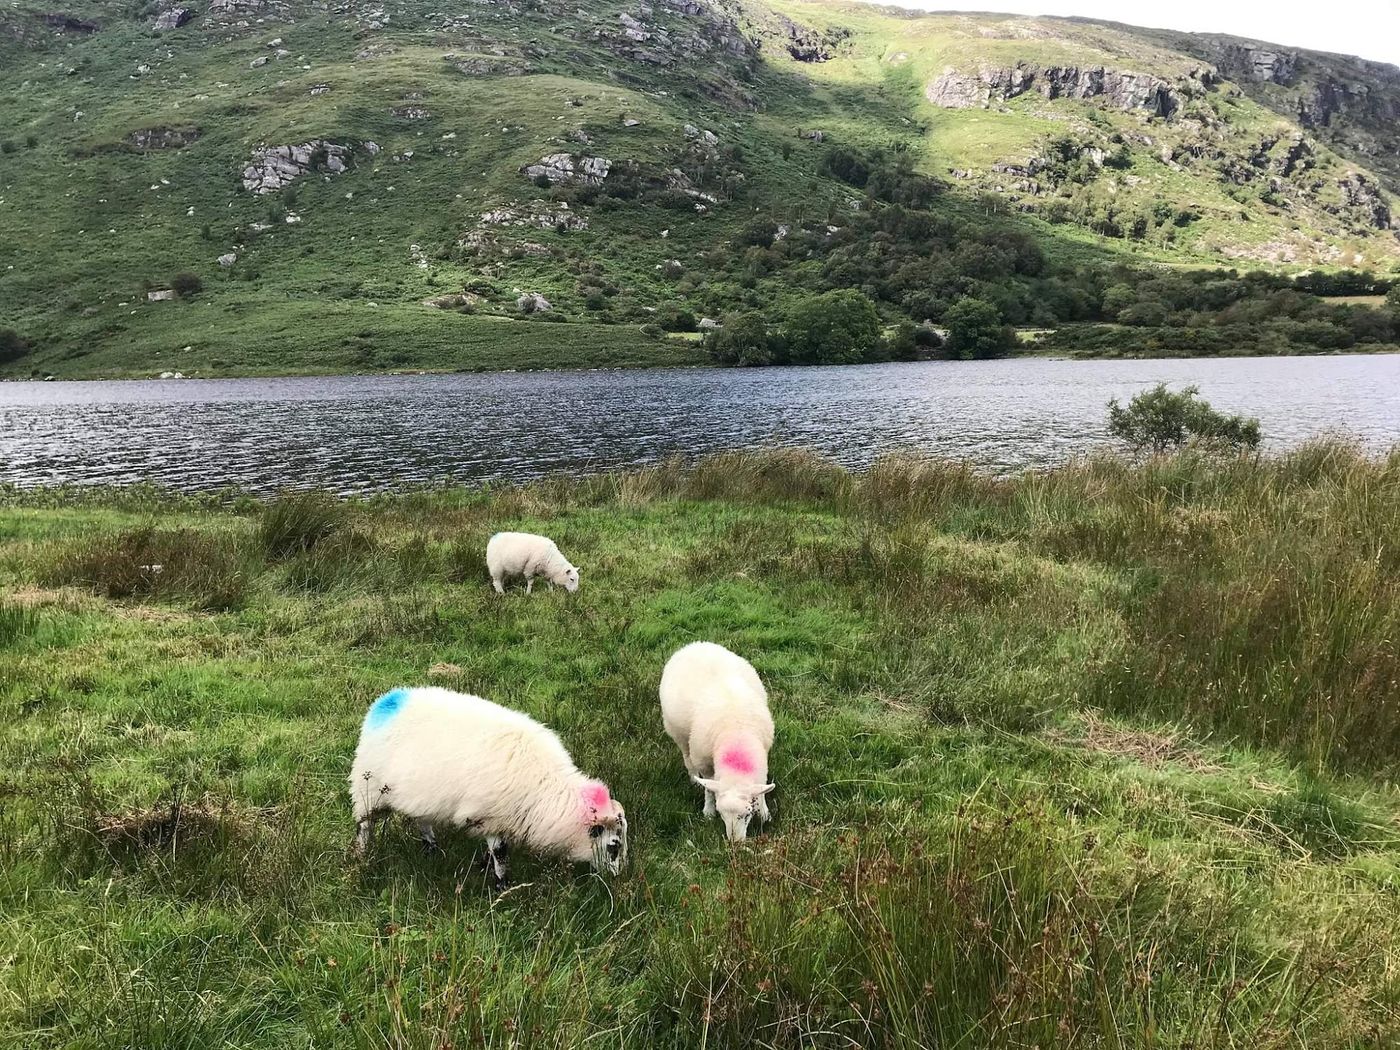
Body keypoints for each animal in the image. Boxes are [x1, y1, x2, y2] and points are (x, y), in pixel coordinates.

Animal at [350, 686, 630, 884]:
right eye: (613, 846)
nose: (618, 878)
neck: (546, 787)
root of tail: (387, 701)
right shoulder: (489, 815)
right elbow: (500, 852)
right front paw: (502, 885)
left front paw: (485, 865)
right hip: (368, 788)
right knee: (364, 825)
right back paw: (363, 856)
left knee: (422, 819)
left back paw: (431, 848)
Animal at [658, 638, 778, 845]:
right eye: (722, 815)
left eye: (747, 815)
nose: (735, 844)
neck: (737, 738)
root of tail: (695, 644)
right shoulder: (704, 761)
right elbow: (709, 788)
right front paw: (708, 811)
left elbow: (761, 788)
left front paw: (764, 813)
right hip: (678, 733)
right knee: (687, 757)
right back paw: (694, 779)